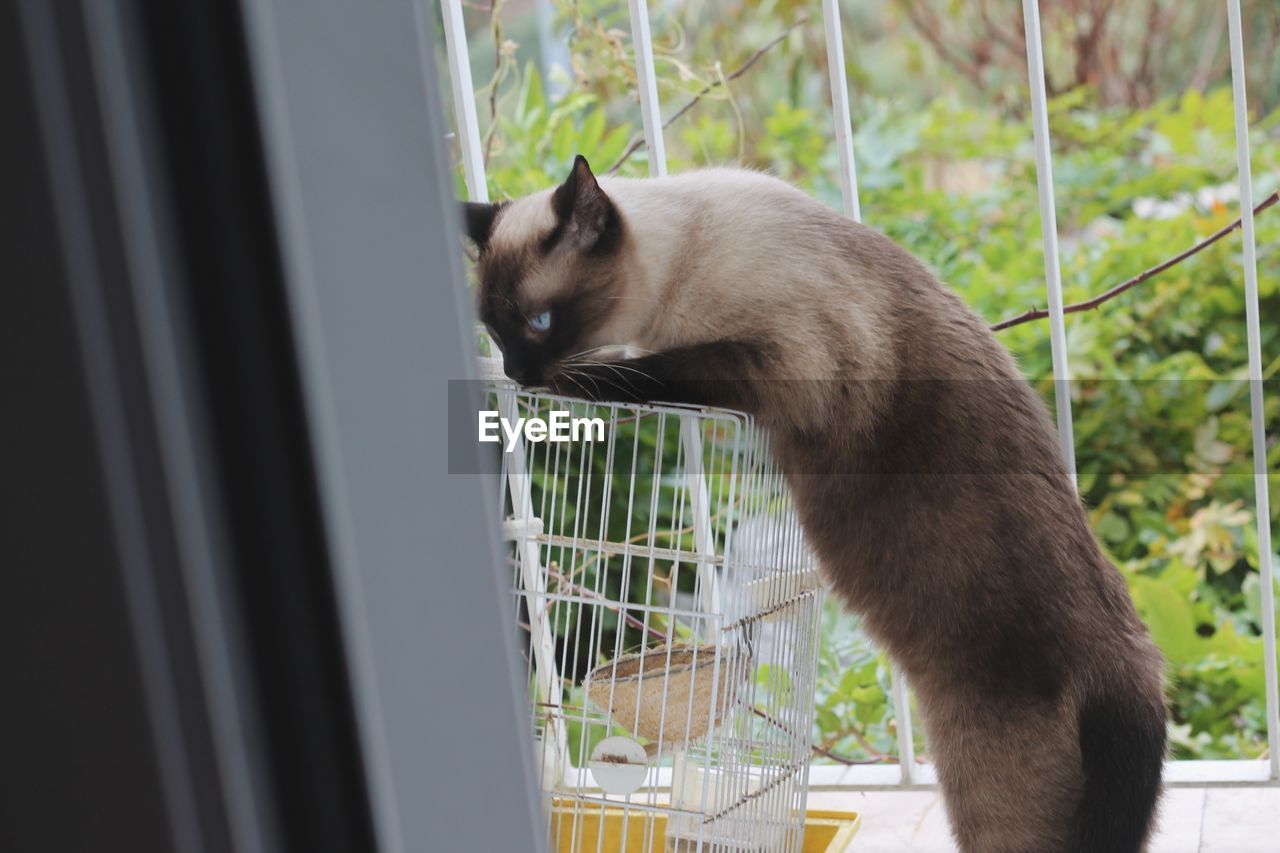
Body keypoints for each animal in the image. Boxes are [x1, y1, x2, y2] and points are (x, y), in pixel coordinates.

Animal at [465, 154, 1167, 850]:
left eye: (540, 323)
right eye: (496, 330)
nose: (521, 372)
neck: (687, 249)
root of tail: (1129, 661)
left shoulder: (772, 361)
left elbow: (640, 370)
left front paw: (575, 378)